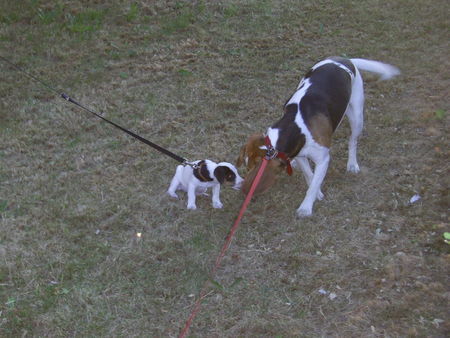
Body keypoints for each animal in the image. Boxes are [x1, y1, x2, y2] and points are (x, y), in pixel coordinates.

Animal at [237, 56, 400, 217]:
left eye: (250, 167)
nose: (243, 189)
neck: (295, 127)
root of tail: (344, 59)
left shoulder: (323, 160)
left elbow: (314, 183)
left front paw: (306, 207)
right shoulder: (300, 154)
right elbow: (310, 176)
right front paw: (317, 193)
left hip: (357, 117)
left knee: (352, 141)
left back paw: (352, 164)